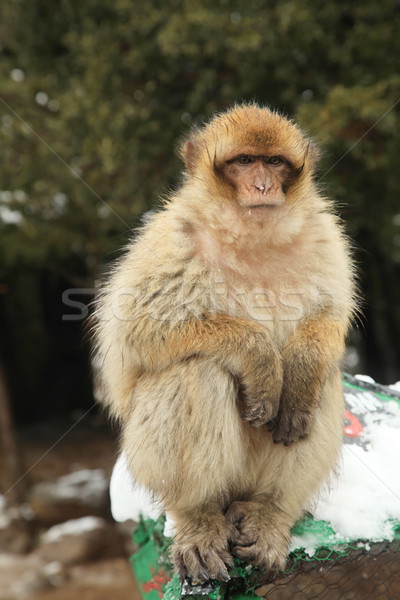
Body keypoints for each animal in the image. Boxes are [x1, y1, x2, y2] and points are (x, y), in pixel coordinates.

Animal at [93, 103, 354, 580]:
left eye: (275, 162)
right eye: (243, 161)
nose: (263, 185)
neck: (253, 235)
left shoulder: (325, 236)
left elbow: (329, 318)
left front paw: (301, 365)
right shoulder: (172, 237)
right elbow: (134, 329)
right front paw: (258, 356)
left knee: (323, 380)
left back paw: (270, 512)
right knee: (196, 369)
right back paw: (198, 515)